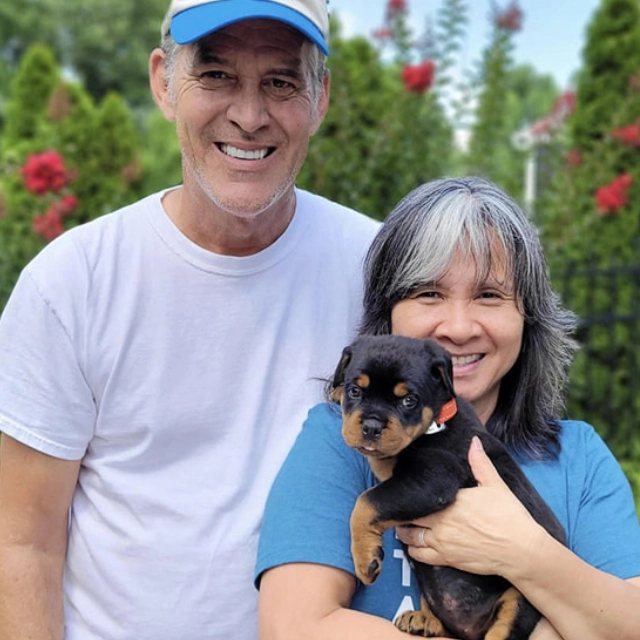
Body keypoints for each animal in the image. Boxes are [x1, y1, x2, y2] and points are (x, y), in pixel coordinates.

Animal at [330, 336, 564, 640]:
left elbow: (366, 501)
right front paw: (335, 392)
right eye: (355, 390)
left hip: (520, 597)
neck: (435, 423)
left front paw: (365, 559)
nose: (371, 426)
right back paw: (423, 620)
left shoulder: (433, 479)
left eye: (408, 400)